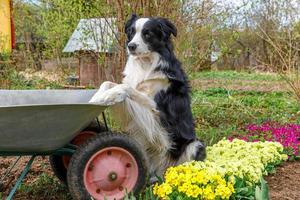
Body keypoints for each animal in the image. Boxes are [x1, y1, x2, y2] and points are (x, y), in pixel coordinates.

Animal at [89, 14, 206, 177]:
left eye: (147, 34)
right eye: (131, 33)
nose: (131, 46)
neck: (145, 63)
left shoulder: (158, 108)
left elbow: (125, 87)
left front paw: (107, 97)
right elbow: (108, 83)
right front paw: (98, 97)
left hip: (195, 144)